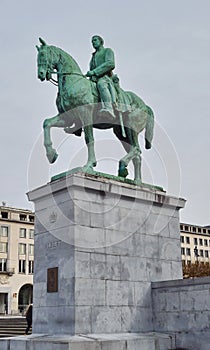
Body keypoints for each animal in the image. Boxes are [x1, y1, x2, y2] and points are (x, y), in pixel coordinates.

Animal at [36, 37, 154, 183]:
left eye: (43, 54)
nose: (40, 74)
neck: (73, 82)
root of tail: (145, 106)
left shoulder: (85, 114)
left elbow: (89, 139)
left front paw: (89, 165)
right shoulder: (67, 118)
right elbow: (47, 123)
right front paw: (51, 154)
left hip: (132, 127)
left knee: (137, 149)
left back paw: (123, 166)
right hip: (122, 133)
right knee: (137, 154)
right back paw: (136, 181)